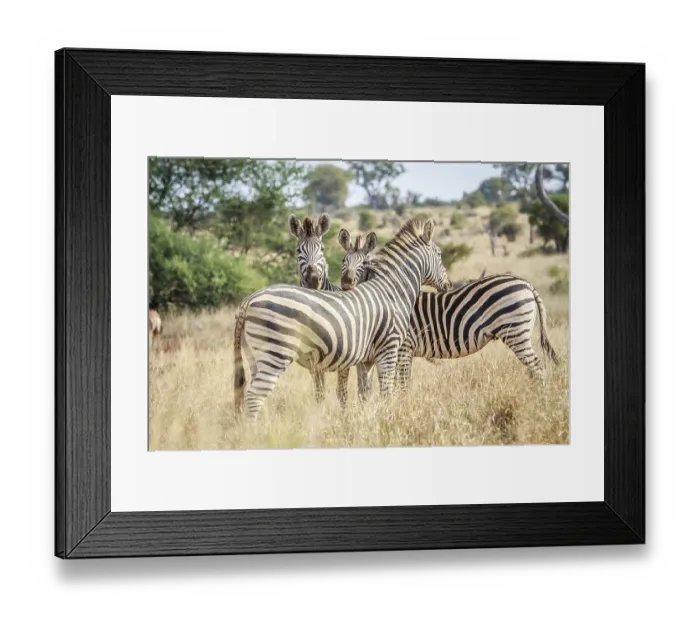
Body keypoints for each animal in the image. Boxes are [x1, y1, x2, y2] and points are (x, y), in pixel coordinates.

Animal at [233, 217, 451, 420]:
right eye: (440, 254)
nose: (449, 285)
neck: (392, 290)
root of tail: (249, 300)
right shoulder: (389, 349)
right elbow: (386, 393)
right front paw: (388, 419)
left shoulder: (367, 359)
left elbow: (364, 393)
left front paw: (365, 420)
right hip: (275, 354)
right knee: (254, 396)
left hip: (255, 356)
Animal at [338, 235, 559, 394]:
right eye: (343, 260)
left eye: (366, 264)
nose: (346, 283)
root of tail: (526, 283)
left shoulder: (404, 348)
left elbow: (400, 384)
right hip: (520, 333)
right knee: (533, 369)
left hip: (516, 333)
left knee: (537, 368)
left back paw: (540, 400)